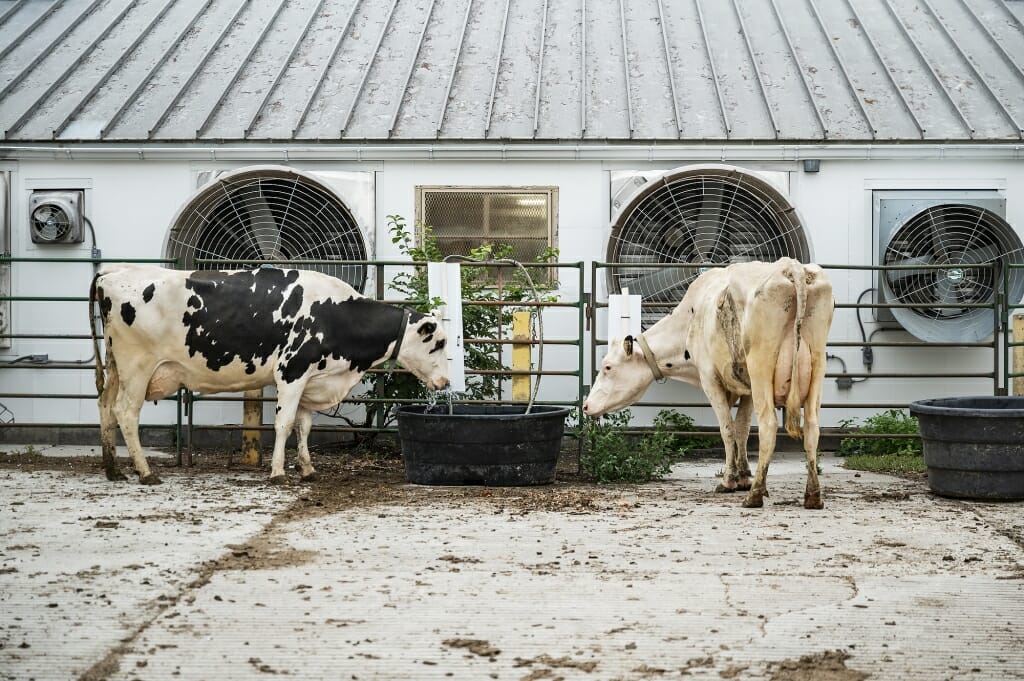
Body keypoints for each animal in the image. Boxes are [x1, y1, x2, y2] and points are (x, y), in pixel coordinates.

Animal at [90, 261, 450, 483]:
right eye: (439, 343)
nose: (445, 381)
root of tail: (113, 273)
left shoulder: (310, 379)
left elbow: (304, 427)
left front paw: (307, 469)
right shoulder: (292, 371)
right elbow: (284, 423)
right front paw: (278, 472)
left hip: (115, 365)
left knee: (105, 406)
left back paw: (113, 470)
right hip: (137, 367)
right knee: (126, 412)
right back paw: (145, 472)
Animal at [585, 258, 831, 507]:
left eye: (607, 367)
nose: (586, 406)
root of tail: (791, 267)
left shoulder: (710, 379)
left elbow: (727, 429)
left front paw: (729, 481)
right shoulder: (748, 388)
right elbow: (742, 429)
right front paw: (744, 477)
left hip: (761, 366)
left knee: (769, 426)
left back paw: (755, 495)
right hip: (817, 365)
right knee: (812, 427)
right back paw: (812, 496)